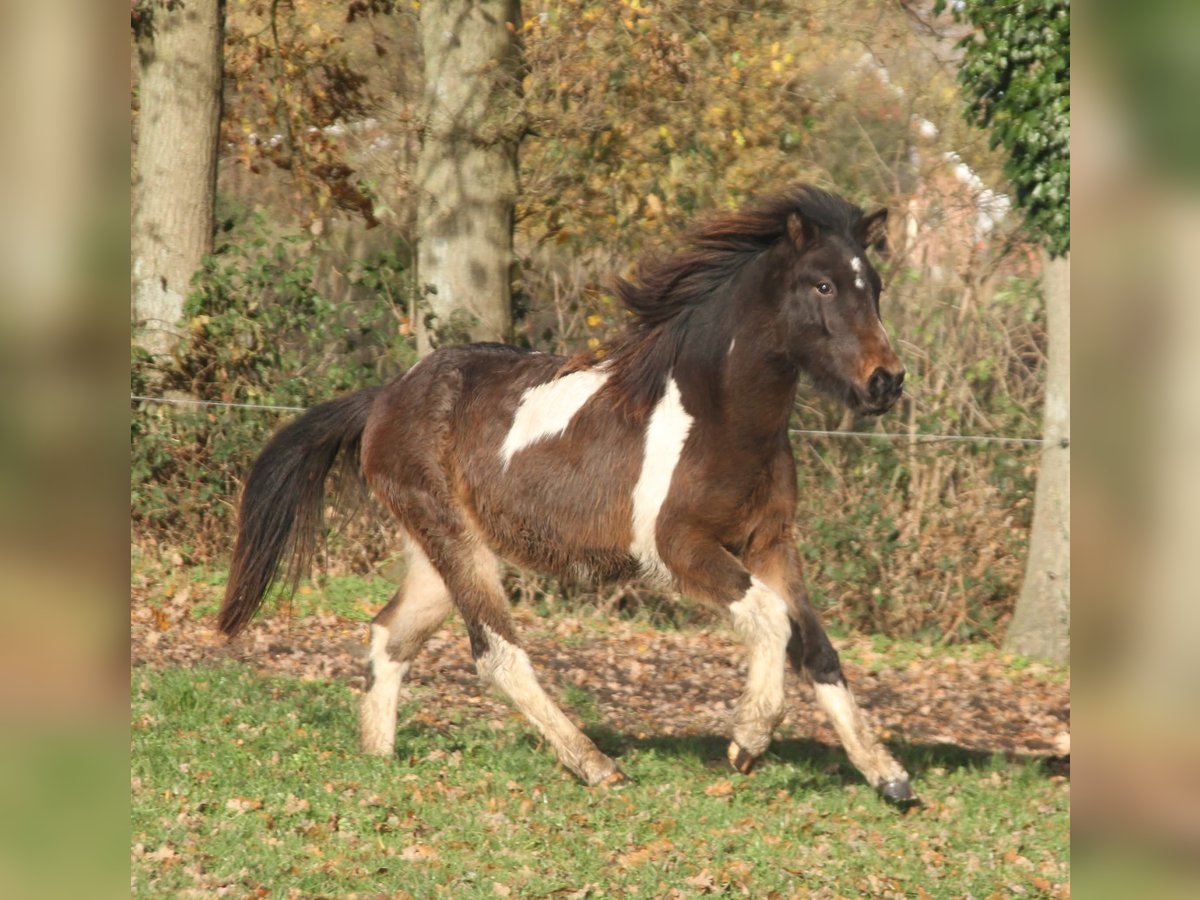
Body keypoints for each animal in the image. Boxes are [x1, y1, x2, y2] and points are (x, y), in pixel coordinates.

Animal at [218, 185, 913, 802]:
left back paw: (379, 759)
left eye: (875, 288)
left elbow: (815, 645)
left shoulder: (770, 542)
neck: (719, 417)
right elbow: (772, 618)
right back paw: (597, 766)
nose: (886, 382)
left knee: (392, 634)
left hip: (440, 554)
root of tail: (386, 396)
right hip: (455, 543)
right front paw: (748, 740)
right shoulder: (678, 549)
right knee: (496, 654)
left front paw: (889, 777)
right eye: (823, 285)